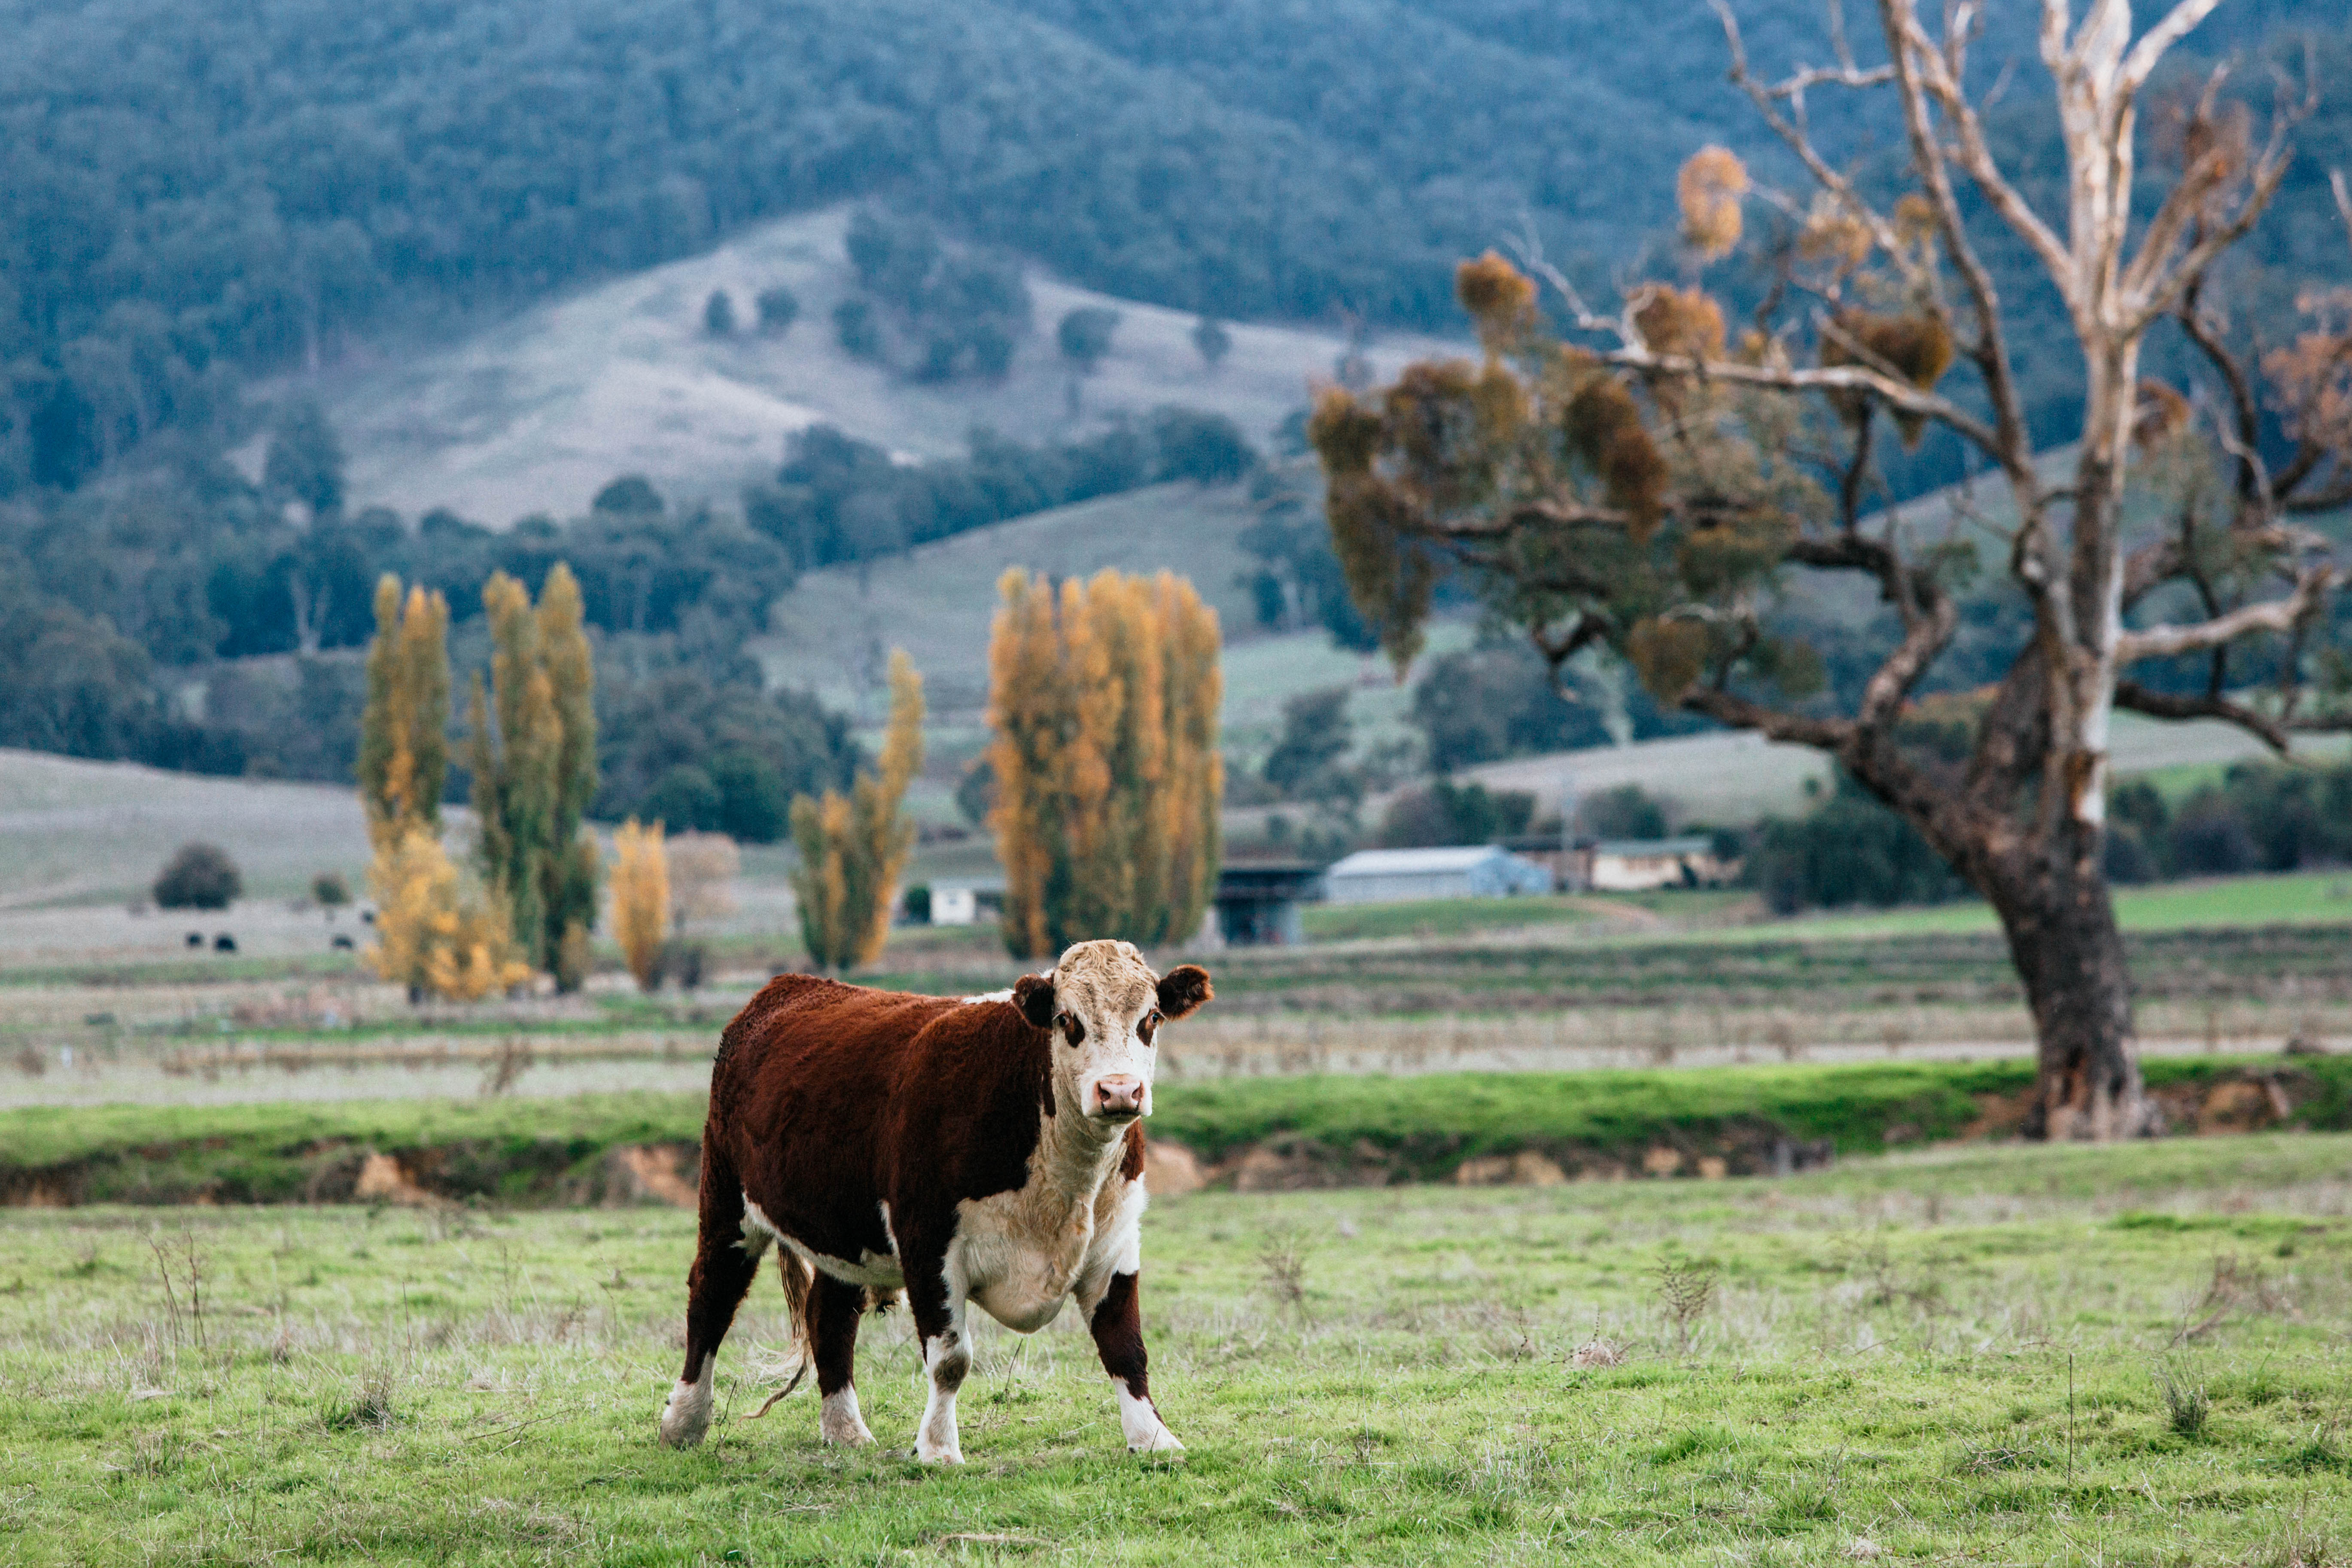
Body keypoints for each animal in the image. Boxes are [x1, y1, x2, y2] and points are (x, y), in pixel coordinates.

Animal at [657, 938, 1212, 1463]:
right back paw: (683, 1423)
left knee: (829, 1315)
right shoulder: (927, 1241)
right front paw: (939, 1449)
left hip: (843, 1225)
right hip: (727, 1199)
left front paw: (1154, 1439)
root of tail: (789, 987)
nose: (1119, 1091)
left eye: (1151, 1018)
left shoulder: (1114, 1243)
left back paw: (845, 1430)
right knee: (712, 1296)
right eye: (1066, 1020)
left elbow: (1125, 1346)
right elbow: (950, 1359)